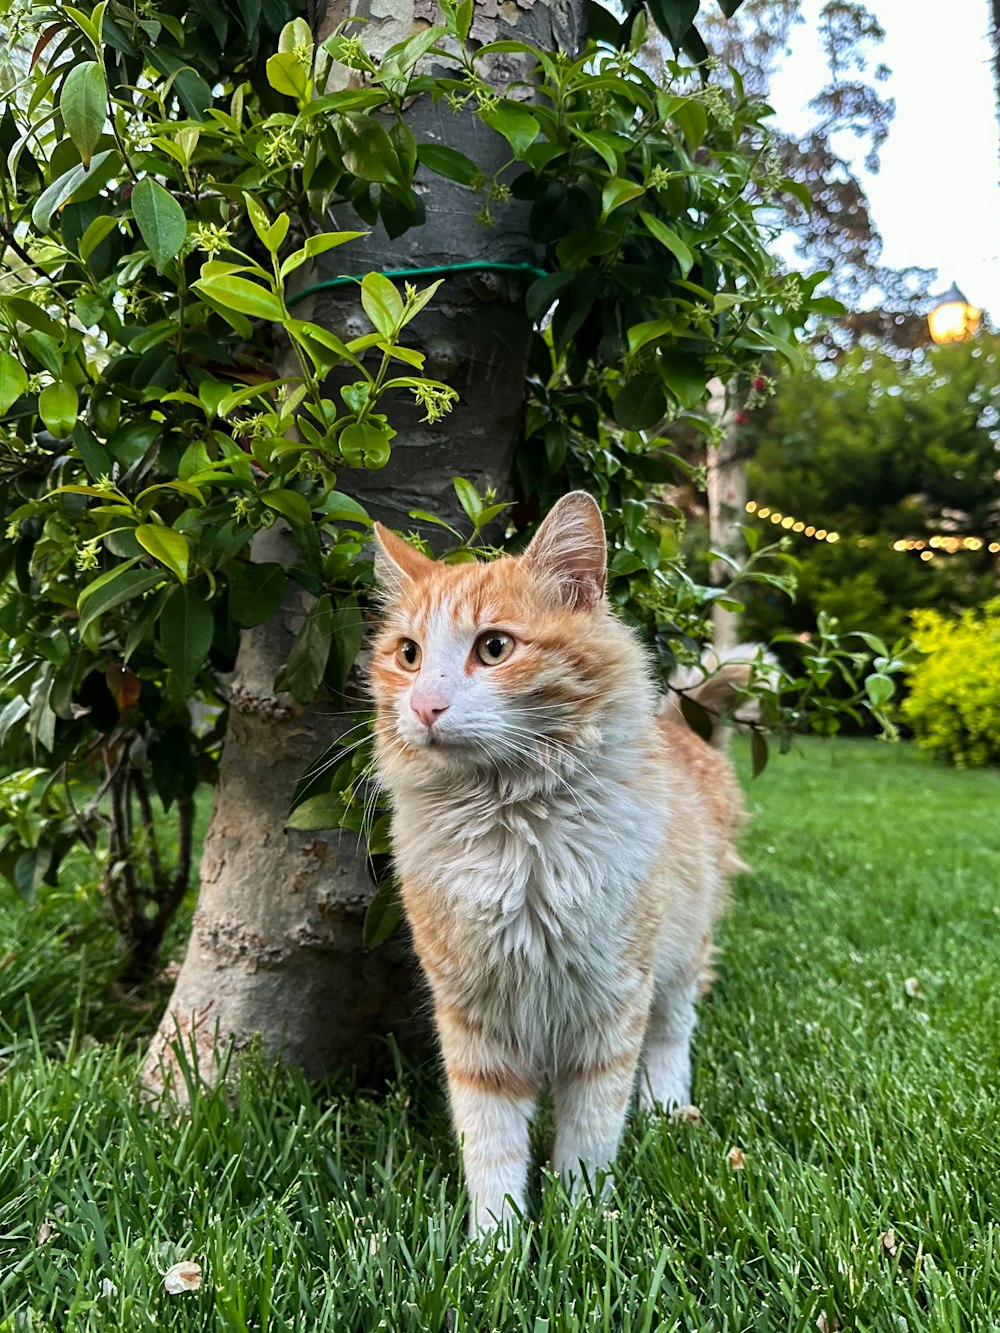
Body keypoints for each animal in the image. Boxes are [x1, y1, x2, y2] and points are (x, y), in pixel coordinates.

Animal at [373, 495, 746, 1231]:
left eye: (494, 648)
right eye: (408, 654)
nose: (425, 706)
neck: (515, 837)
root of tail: (681, 726)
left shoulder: (611, 1009)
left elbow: (588, 1137)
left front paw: (578, 1228)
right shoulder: (475, 1022)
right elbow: (491, 1150)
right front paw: (498, 1244)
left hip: (680, 953)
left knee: (673, 1031)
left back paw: (666, 1107)